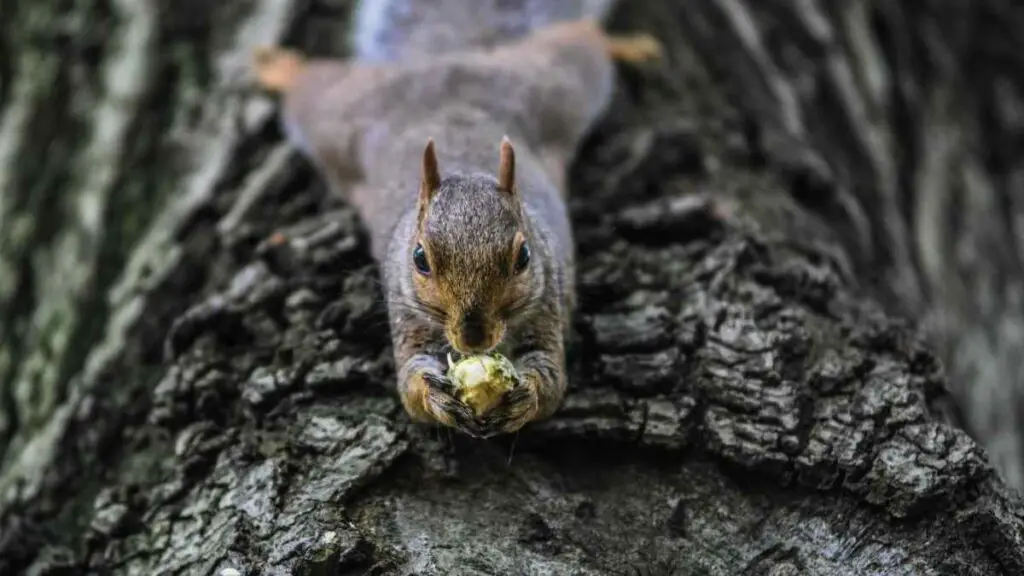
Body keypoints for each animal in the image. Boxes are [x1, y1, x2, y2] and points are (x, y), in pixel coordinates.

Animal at [251, 0, 659, 436]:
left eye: (524, 258)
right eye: (419, 259)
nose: (473, 338)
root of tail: (442, 58)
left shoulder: (547, 303)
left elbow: (551, 378)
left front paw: (526, 396)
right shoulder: (408, 315)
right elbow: (410, 385)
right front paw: (434, 395)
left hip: (555, 84)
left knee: (581, 39)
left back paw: (629, 44)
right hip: (340, 116)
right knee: (311, 85)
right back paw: (279, 66)